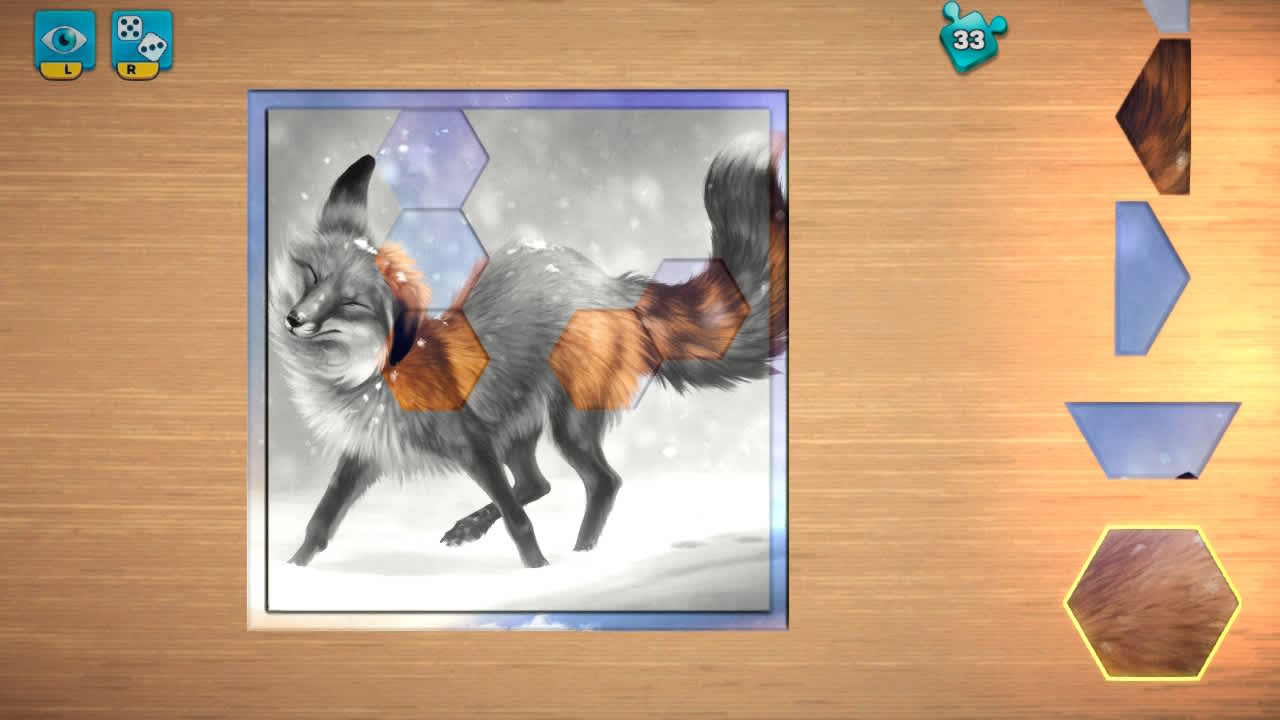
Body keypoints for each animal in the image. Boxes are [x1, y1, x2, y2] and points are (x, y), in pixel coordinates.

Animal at [269, 132, 787, 570]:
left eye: (350, 302)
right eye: (312, 277)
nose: (295, 319)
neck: (374, 374)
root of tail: (608, 283)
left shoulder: (471, 441)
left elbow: (521, 525)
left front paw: (538, 573)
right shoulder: (367, 450)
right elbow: (320, 521)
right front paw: (293, 571)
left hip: (567, 425)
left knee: (601, 483)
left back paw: (579, 560)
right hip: (519, 430)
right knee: (537, 483)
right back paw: (476, 530)